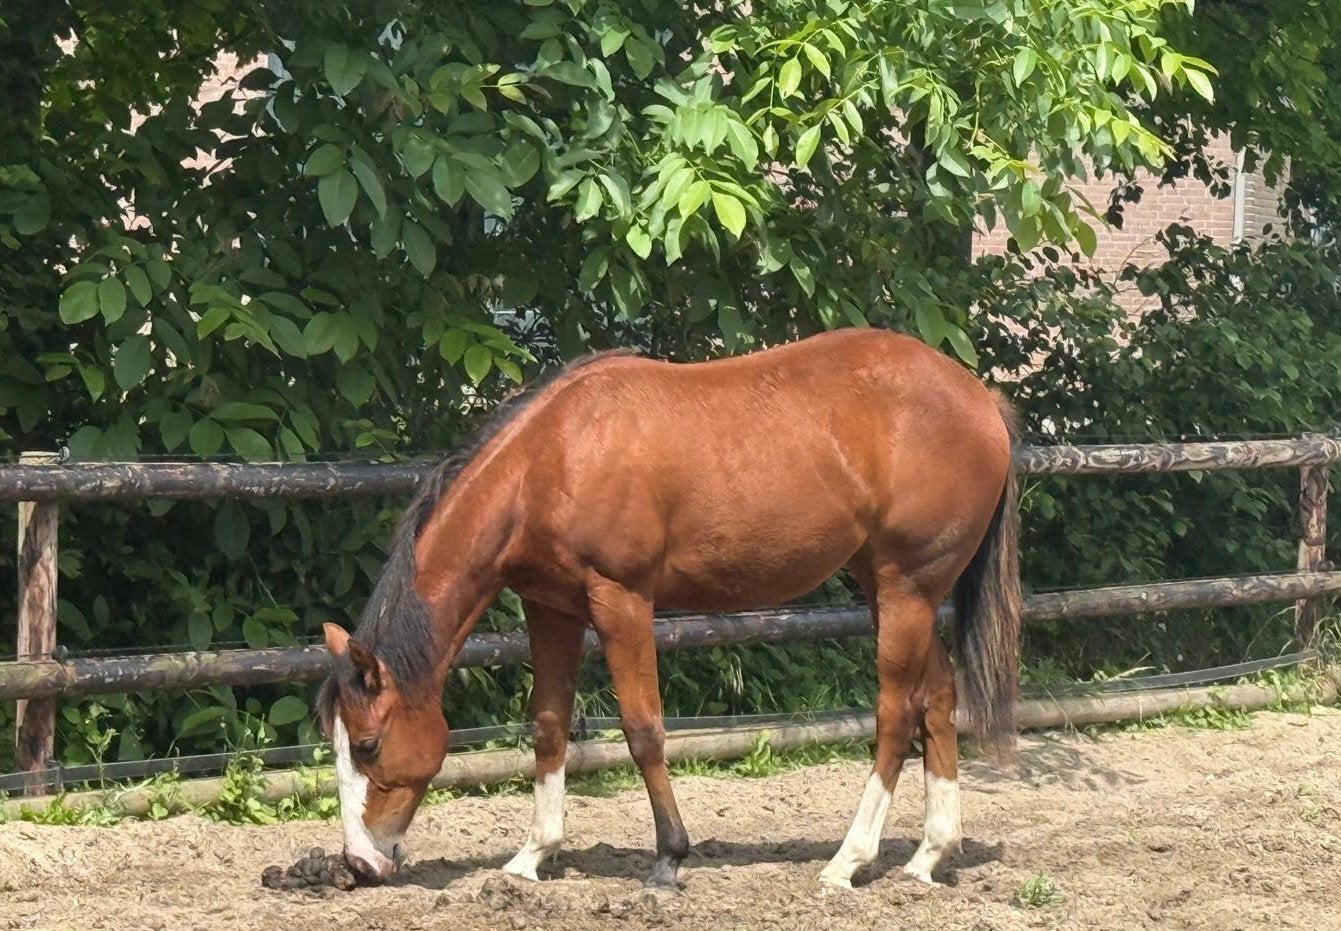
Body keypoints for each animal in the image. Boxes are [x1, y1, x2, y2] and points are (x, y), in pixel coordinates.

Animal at [316, 327, 1021, 891]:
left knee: (896, 714)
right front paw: (530, 857)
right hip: (889, 589)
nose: (358, 865)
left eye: (369, 745)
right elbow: (548, 723)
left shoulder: (621, 598)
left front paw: (668, 859)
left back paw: (848, 861)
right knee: (937, 698)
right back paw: (928, 857)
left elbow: (644, 728)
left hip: (906, 590)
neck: (551, 460)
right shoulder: (552, 607)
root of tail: (980, 399)